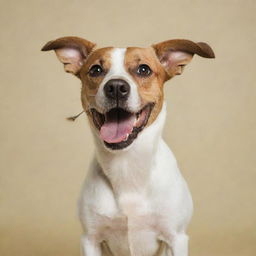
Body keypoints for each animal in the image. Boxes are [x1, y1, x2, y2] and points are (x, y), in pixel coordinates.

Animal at [41, 36, 214, 256]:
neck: (126, 166)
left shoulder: (177, 238)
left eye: (144, 69)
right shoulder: (90, 239)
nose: (115, 87)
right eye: (96, 70)